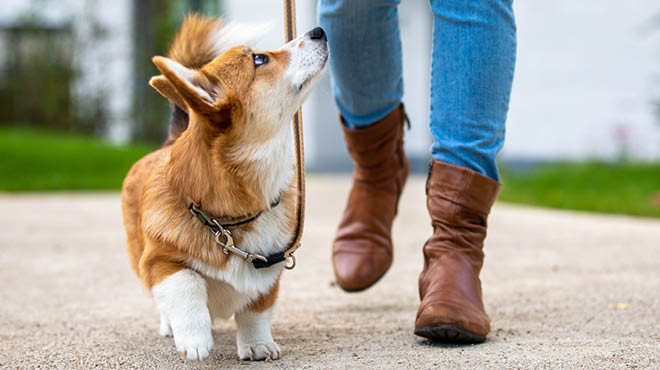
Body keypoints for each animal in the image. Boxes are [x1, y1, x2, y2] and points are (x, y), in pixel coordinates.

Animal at [121, 15, 328, 362]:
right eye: (259, 59)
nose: (319, 31)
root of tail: (170, 140)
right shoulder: (159, 262)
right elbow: (188, 283)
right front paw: (194, 339)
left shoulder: (269, 269)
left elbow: (256, 310)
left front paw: (258, 345)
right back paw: (170, 325)